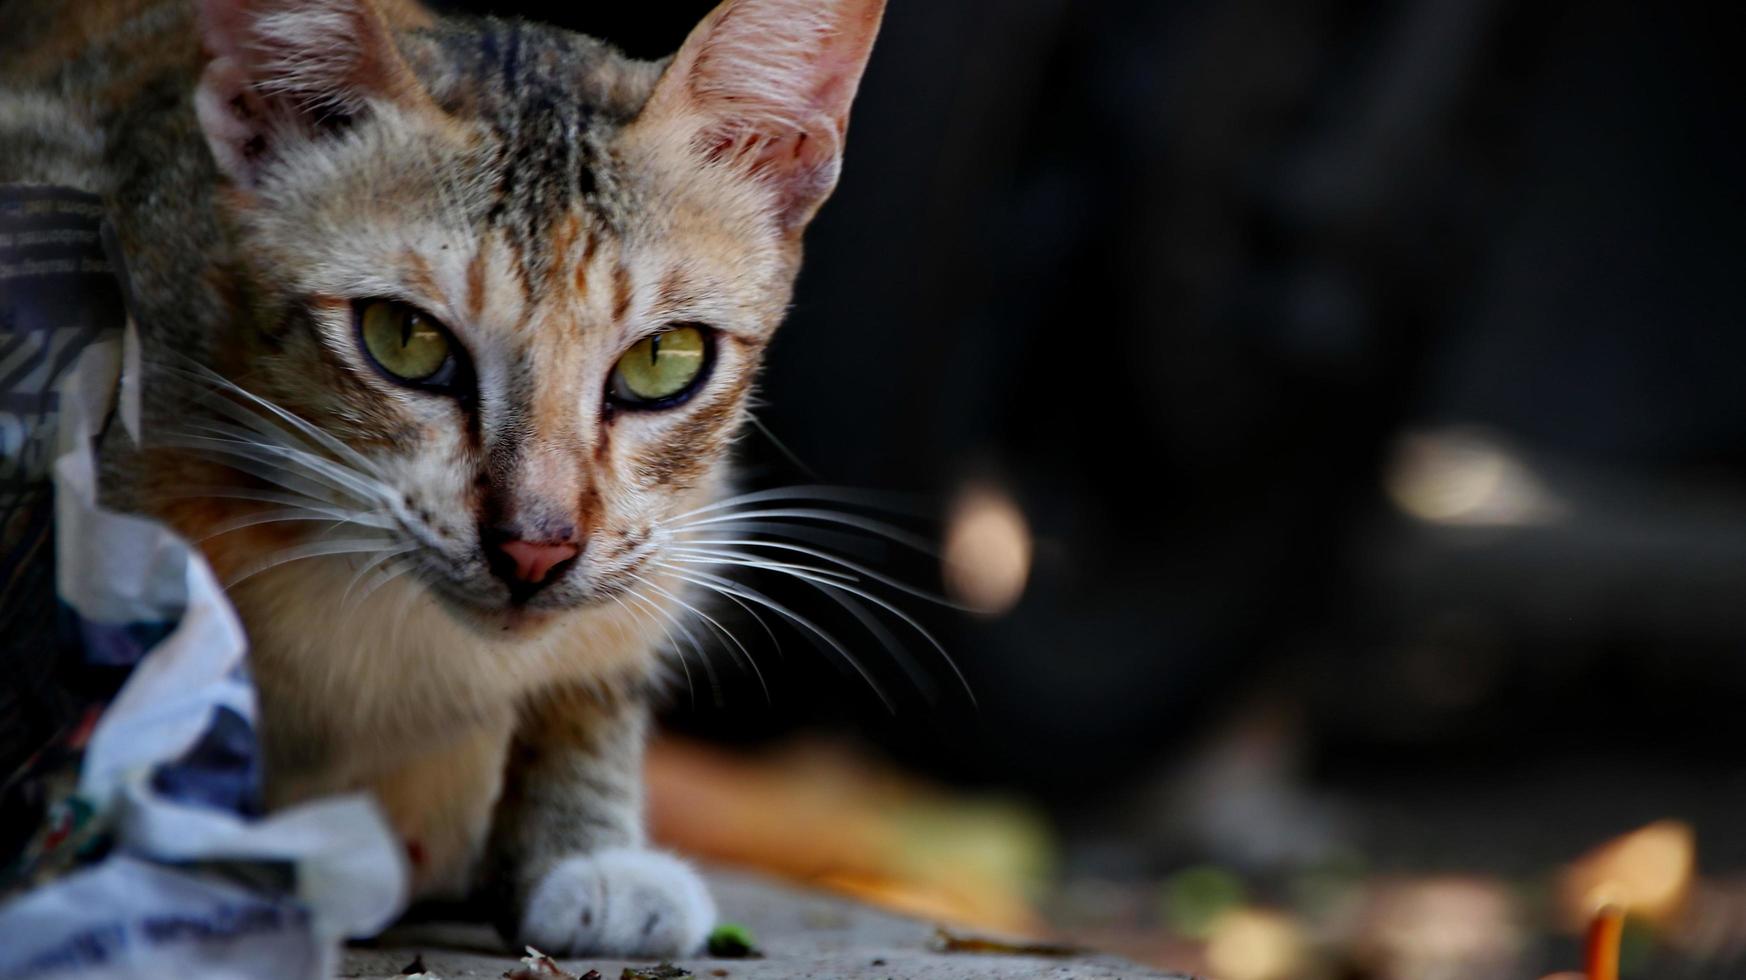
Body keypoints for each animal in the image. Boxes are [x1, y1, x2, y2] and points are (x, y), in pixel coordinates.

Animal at [0, 0, 886, 957]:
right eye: (405, 339)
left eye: (663, 360)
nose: (536, 548)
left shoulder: (678, 530)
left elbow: (601, 669)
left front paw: (584, 846)